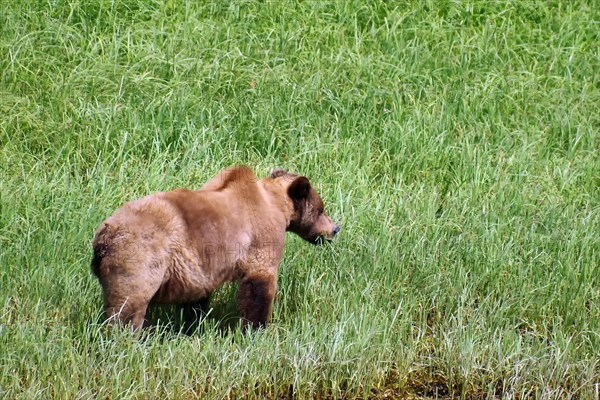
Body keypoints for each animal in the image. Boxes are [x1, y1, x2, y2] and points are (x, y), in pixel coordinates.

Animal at [91, 166, 340, 332]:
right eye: (320, 209)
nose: (335, 228)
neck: (276, 206)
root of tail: (104, 237)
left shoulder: (199, 268)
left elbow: (196, 298)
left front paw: (193, 325)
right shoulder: (261, 239)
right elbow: (259, 285)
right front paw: (256, 328)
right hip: (140, 255)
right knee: (128, 304)